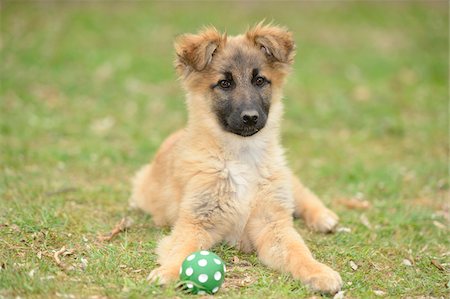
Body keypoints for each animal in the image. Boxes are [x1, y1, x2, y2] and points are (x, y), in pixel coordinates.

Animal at [130, 22, 342, 294]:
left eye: (260, 80)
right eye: (224, 83)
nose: (250, 117)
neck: (241, 156)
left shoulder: (272, 222)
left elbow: (298, 251)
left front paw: (318, 271)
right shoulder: (196, 222)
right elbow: (182, 249)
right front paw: (168, 271)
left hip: (283, 179)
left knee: (301, 192)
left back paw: (323, 216)